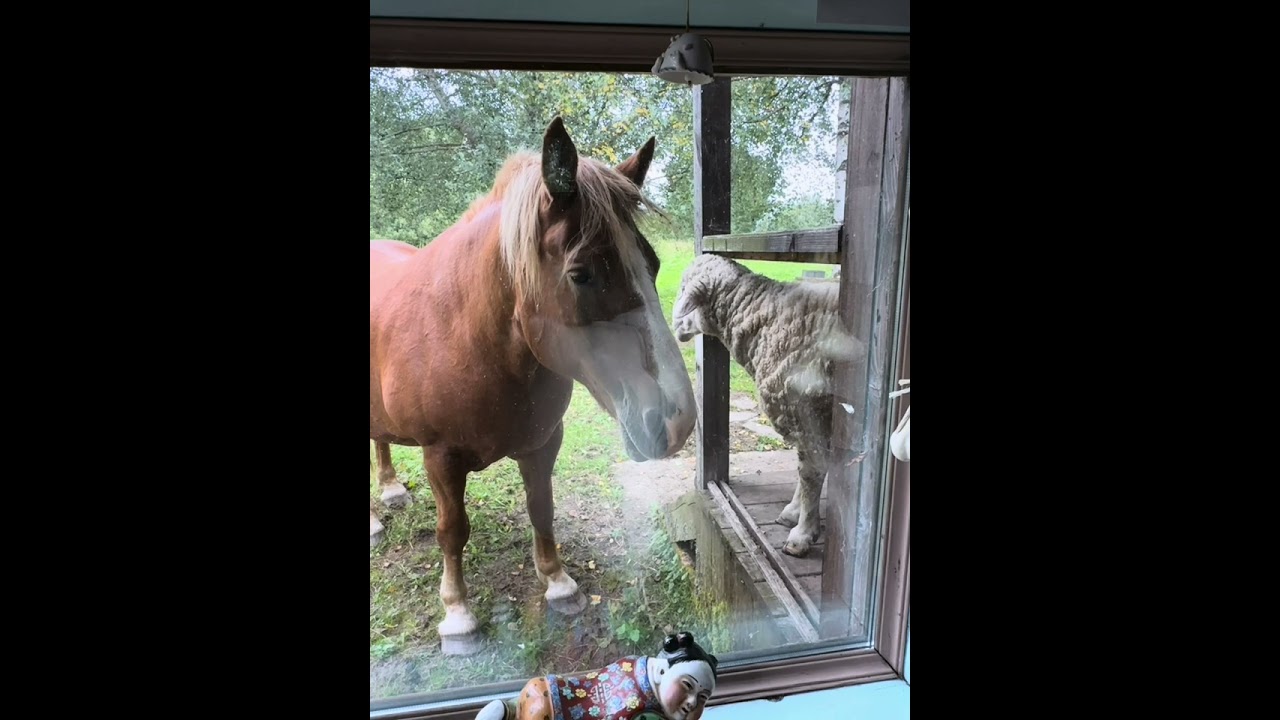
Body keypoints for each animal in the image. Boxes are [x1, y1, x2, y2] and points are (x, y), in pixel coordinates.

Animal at [370, 118, 697, 656]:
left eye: (651, 265)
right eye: (581, 274)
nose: (676, 422)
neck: (471, 335)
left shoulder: (544, 441)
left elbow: (541, 507)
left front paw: (558, 583)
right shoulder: (440, 455)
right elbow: (452, 530)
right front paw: (457, 614)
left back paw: (391, 490)